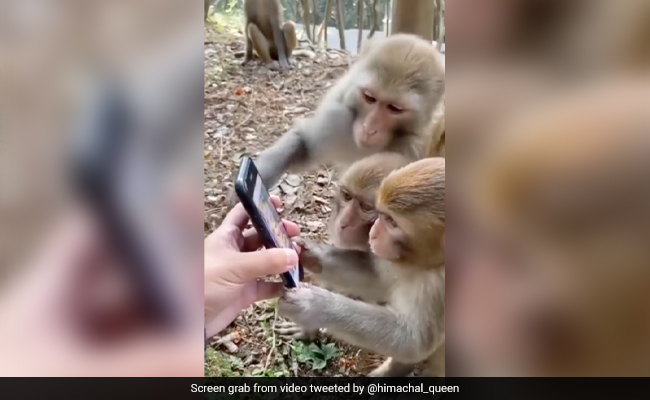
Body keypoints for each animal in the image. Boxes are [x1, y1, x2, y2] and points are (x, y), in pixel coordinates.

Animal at [225, 33, 445, 209]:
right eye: (369, 97)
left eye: (395, 108)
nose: (369, 128)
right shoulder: (338, 120)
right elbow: (305, 144)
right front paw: (252, 182)